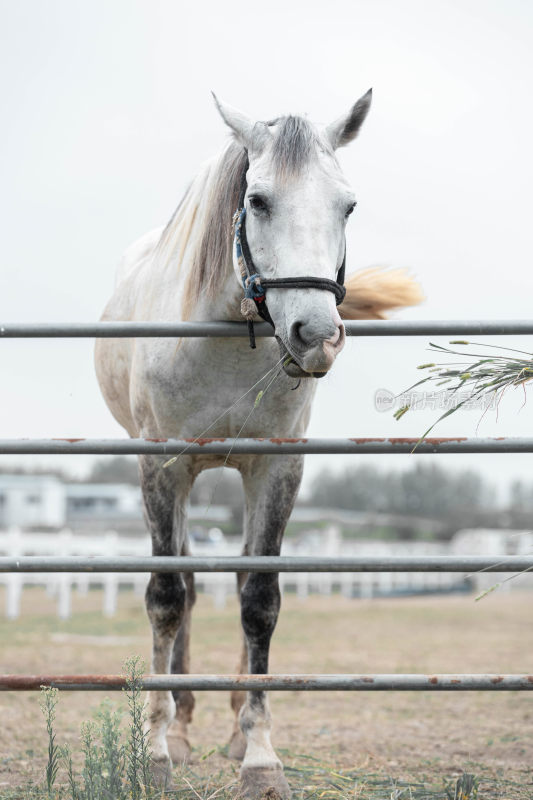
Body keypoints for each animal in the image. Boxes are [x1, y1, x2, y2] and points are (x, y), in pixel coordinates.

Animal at [94, 90, 420, 796]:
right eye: (259, 200)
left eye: (348, 205)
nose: (316, 335)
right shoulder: (162, 467)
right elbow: (166, 599)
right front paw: (157, 749)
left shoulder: (277, 468)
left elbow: (260, 601)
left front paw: (260, 755)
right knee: (187, 584)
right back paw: (182, 725)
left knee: (242, 575)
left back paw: (234, 723)